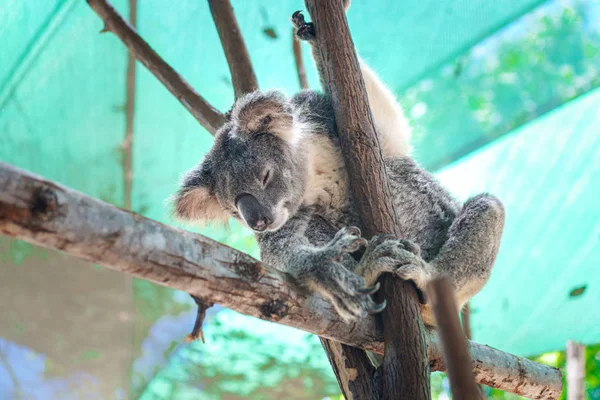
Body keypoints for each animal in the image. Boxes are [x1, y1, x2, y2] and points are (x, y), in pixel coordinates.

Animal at [171, 8, 504, 324]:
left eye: (264, 176)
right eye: (233, 210)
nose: (258, 222)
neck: (313, 173)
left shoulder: (333, 120)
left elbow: (385, 119)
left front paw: (313, 33)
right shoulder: (290, 217)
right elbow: (280, 250)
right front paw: (325, 270)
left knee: (488, 209)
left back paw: (425, 276)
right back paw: (364, 271)